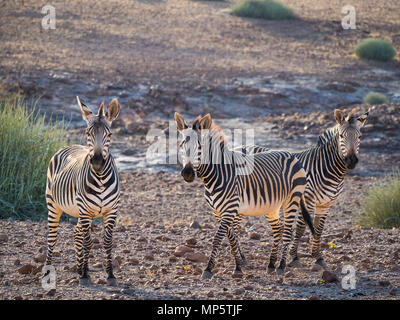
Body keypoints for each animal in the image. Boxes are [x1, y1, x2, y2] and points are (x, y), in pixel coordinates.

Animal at [45, 97, 120, 284]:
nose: (98, 161)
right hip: (53, 204)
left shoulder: (111, 211)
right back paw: (48, 271)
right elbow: (88, 242)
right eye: (88, 133)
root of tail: (69, 145)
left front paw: (109, 273)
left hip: (79, 211)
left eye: (109, 135)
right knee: (52, 238)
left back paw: (78, 267)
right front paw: (86, 273)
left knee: (76, 232)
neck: (100, 179)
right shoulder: (85, 211)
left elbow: (107, 242)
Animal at [173, 112, 314, 280]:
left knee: (287, 231)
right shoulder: (218, 212)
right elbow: (231, 237)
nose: (187, 173)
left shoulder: (229, 209)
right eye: (181, 145)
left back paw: (281, 266)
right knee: (278, 229)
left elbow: (218, 238)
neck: (215, 176)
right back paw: (271, 264)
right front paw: (238, 266)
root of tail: (291, 155)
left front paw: (208, 268)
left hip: (292, 200)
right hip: (272, 206)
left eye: (200, 147)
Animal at [238, 109, 368, 272]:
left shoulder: (326, 204)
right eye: (341, 136)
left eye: (360, 137)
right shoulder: (308, 199)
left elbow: (318, 229)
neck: (329, 170)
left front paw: (318, 257)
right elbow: (300, 229)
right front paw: (294, 257)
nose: (351, 161)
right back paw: (241, 259)